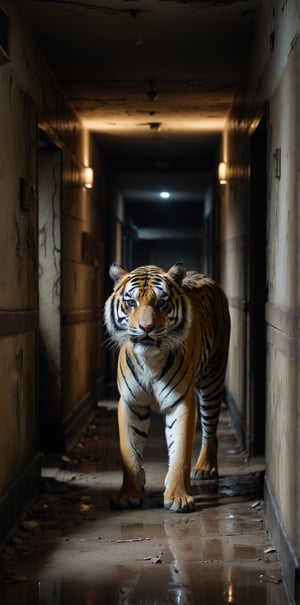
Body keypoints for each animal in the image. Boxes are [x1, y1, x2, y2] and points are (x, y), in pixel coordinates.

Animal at [104, 262, 231, 512]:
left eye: (161, 303)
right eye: (131, 303)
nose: (146, 327)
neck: (149, 361)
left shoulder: (180, 401)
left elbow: (180, 450)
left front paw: (178, 497)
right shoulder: (131, 402)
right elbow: (130, 451)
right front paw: (128, 494)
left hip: (212, 379)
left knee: (209, 429)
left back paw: (205, 467)